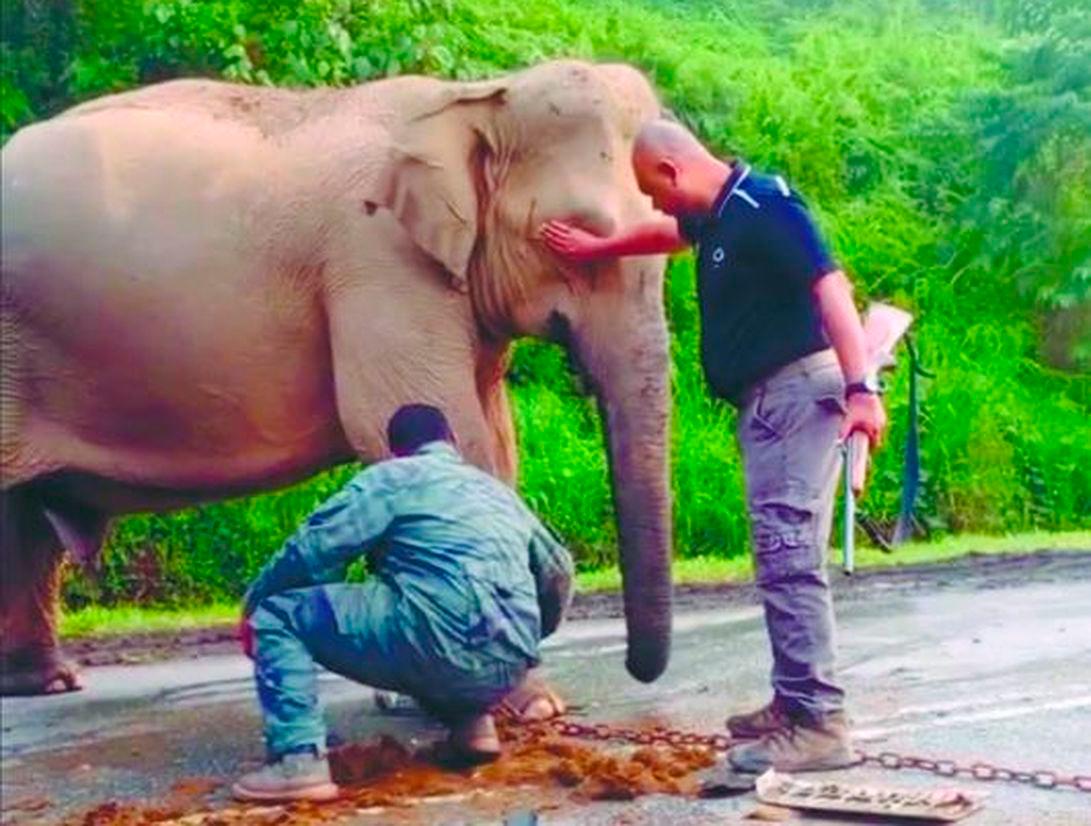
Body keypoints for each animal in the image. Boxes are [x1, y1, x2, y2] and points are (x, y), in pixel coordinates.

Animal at [0, 59, 673, 697]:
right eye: (569, 237)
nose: (635, 670)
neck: (473, 97)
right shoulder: (379, 259)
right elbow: (417, 422)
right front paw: (521, 697)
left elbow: (492, 440)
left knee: (25, 519)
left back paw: (46, 681)